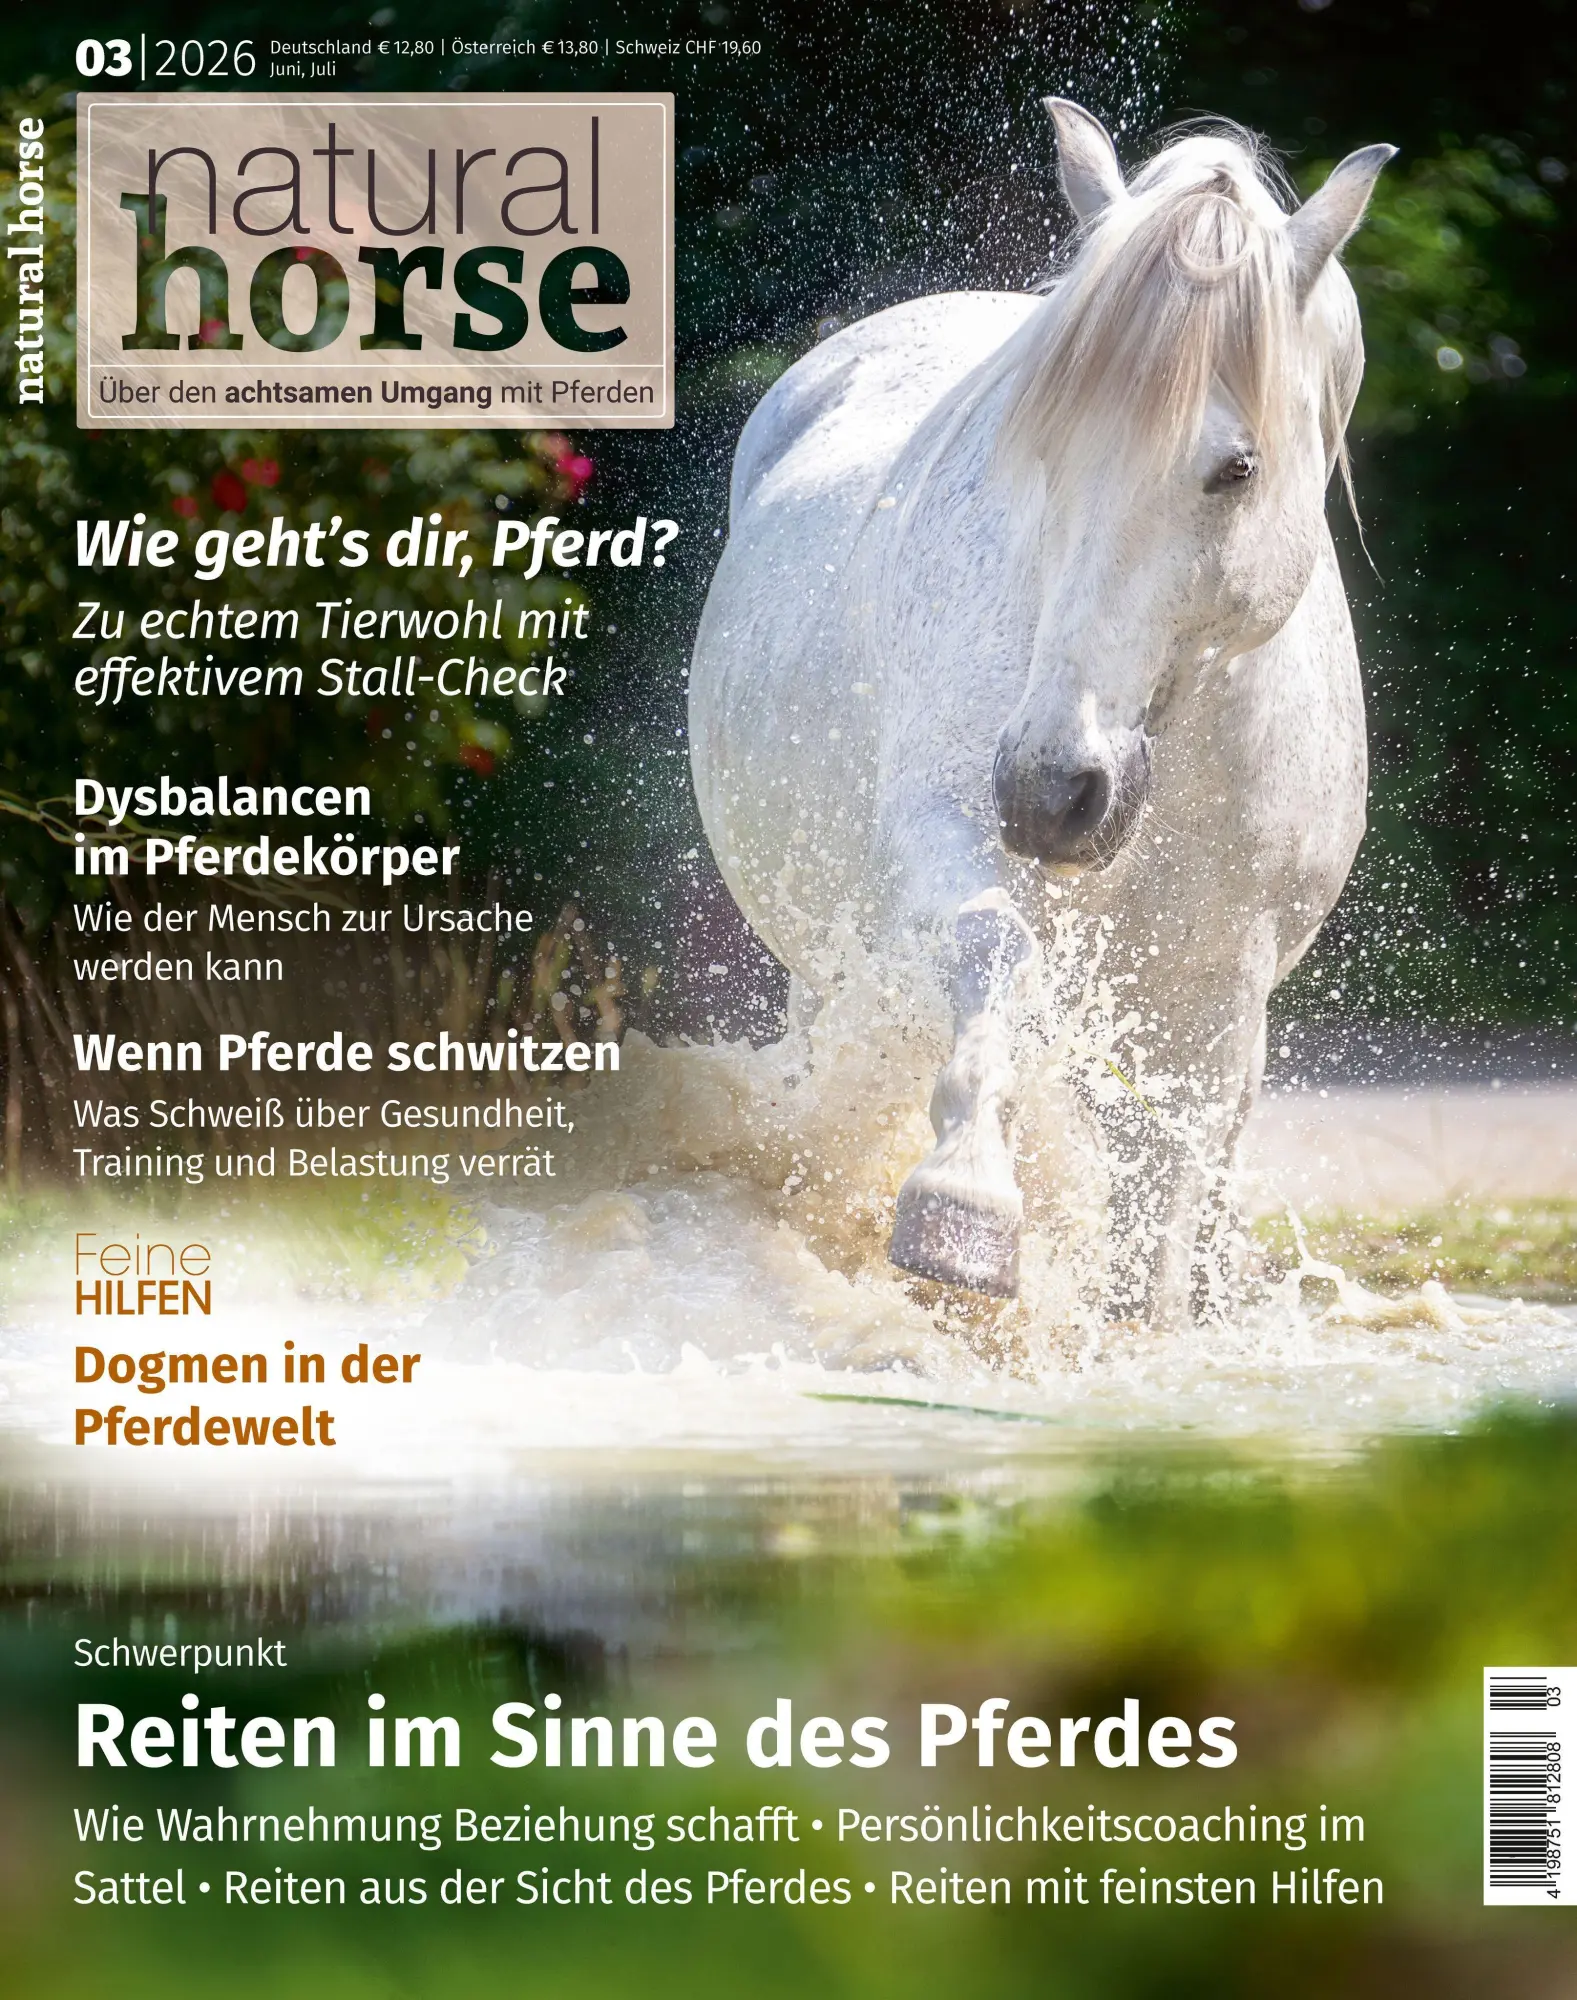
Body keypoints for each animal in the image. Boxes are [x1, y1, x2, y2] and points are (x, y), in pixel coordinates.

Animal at [688, 100, 1393, 1323]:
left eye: (1236, 467)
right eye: (1041, 451)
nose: (1052, 787)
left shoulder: (1215, 996)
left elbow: (1160, 1221)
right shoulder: (945, 836)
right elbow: (989, 948)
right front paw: (961, 1206)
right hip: (825, 962)